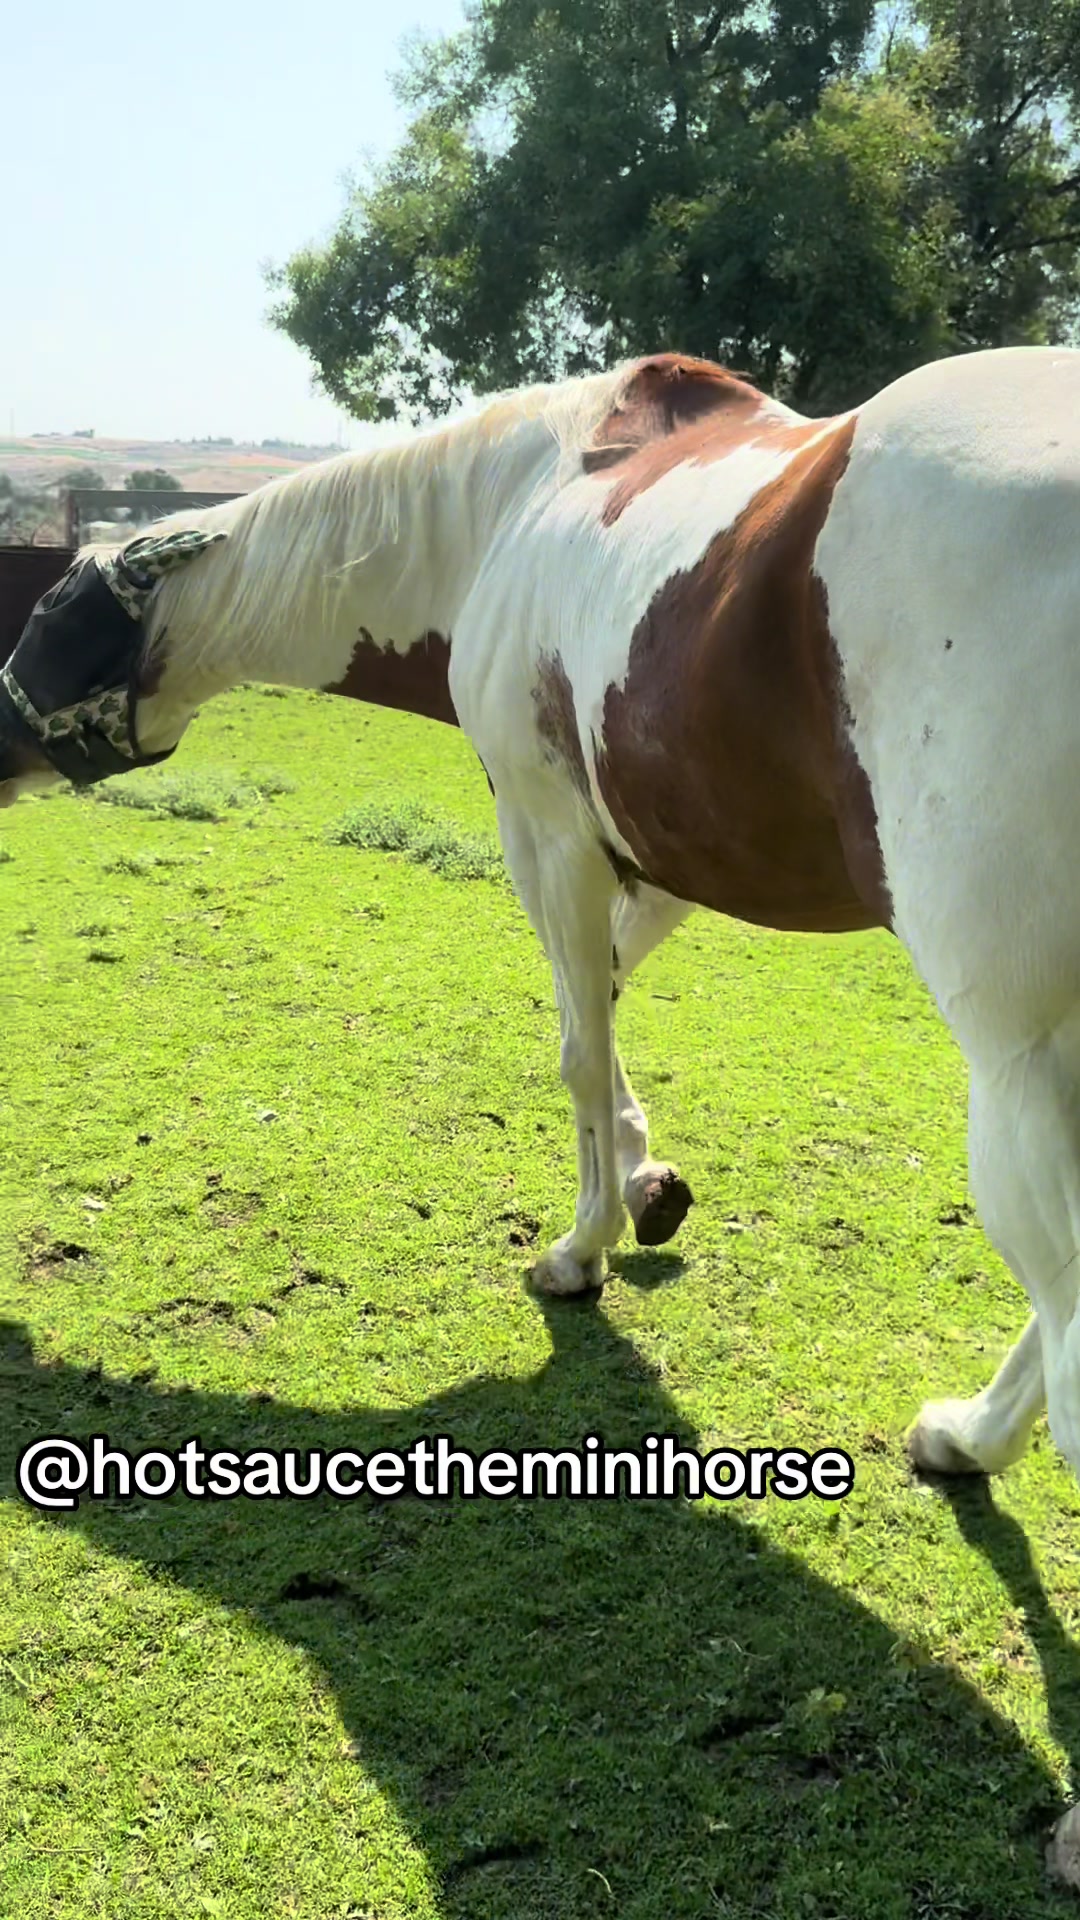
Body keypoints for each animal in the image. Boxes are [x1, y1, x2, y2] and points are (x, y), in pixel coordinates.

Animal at [0, 344, 1075, 1497]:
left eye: (50, 617)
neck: (502, 512)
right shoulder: (663, 855)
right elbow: (601, 1005)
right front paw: (647, 1180)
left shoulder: (549, 838)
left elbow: (578, 1049)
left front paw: (581, 1248)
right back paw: (967, 1436)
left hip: (1020, 1061)